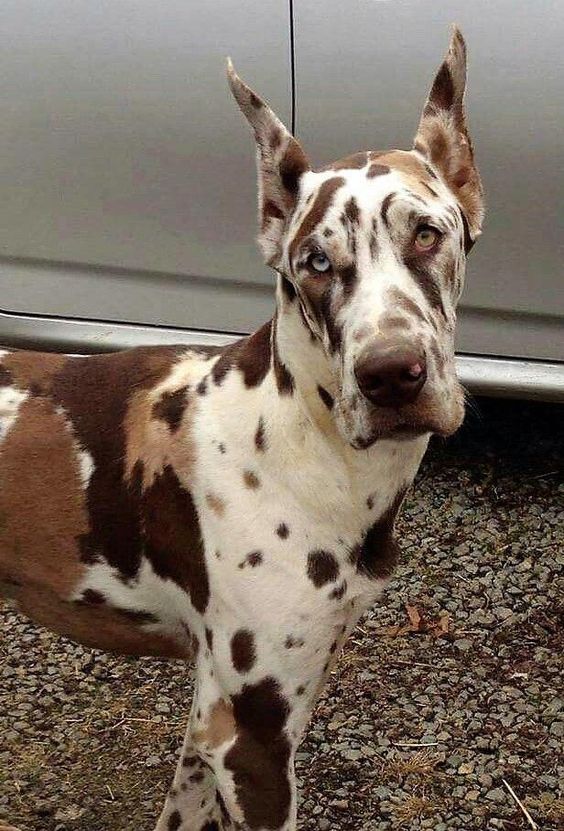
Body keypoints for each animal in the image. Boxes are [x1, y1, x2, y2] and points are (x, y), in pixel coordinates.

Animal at [1, 29, 484, 831]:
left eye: (426, 232)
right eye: (315, 261)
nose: (391, 375)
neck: (299, 438)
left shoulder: (214, 719)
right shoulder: (253, 736)